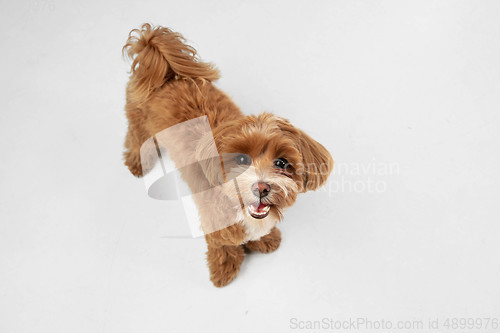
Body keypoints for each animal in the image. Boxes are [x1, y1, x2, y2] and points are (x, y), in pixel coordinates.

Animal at [122, 24, 332, 286]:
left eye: (282, 162)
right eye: (241, 159)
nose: (261, 187)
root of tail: (166, 71)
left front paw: (265, 239)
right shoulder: (215, 224)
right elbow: (222, 246)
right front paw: (224, 267)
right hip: (139, 123)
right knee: (136, 138)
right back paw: (137, 162)